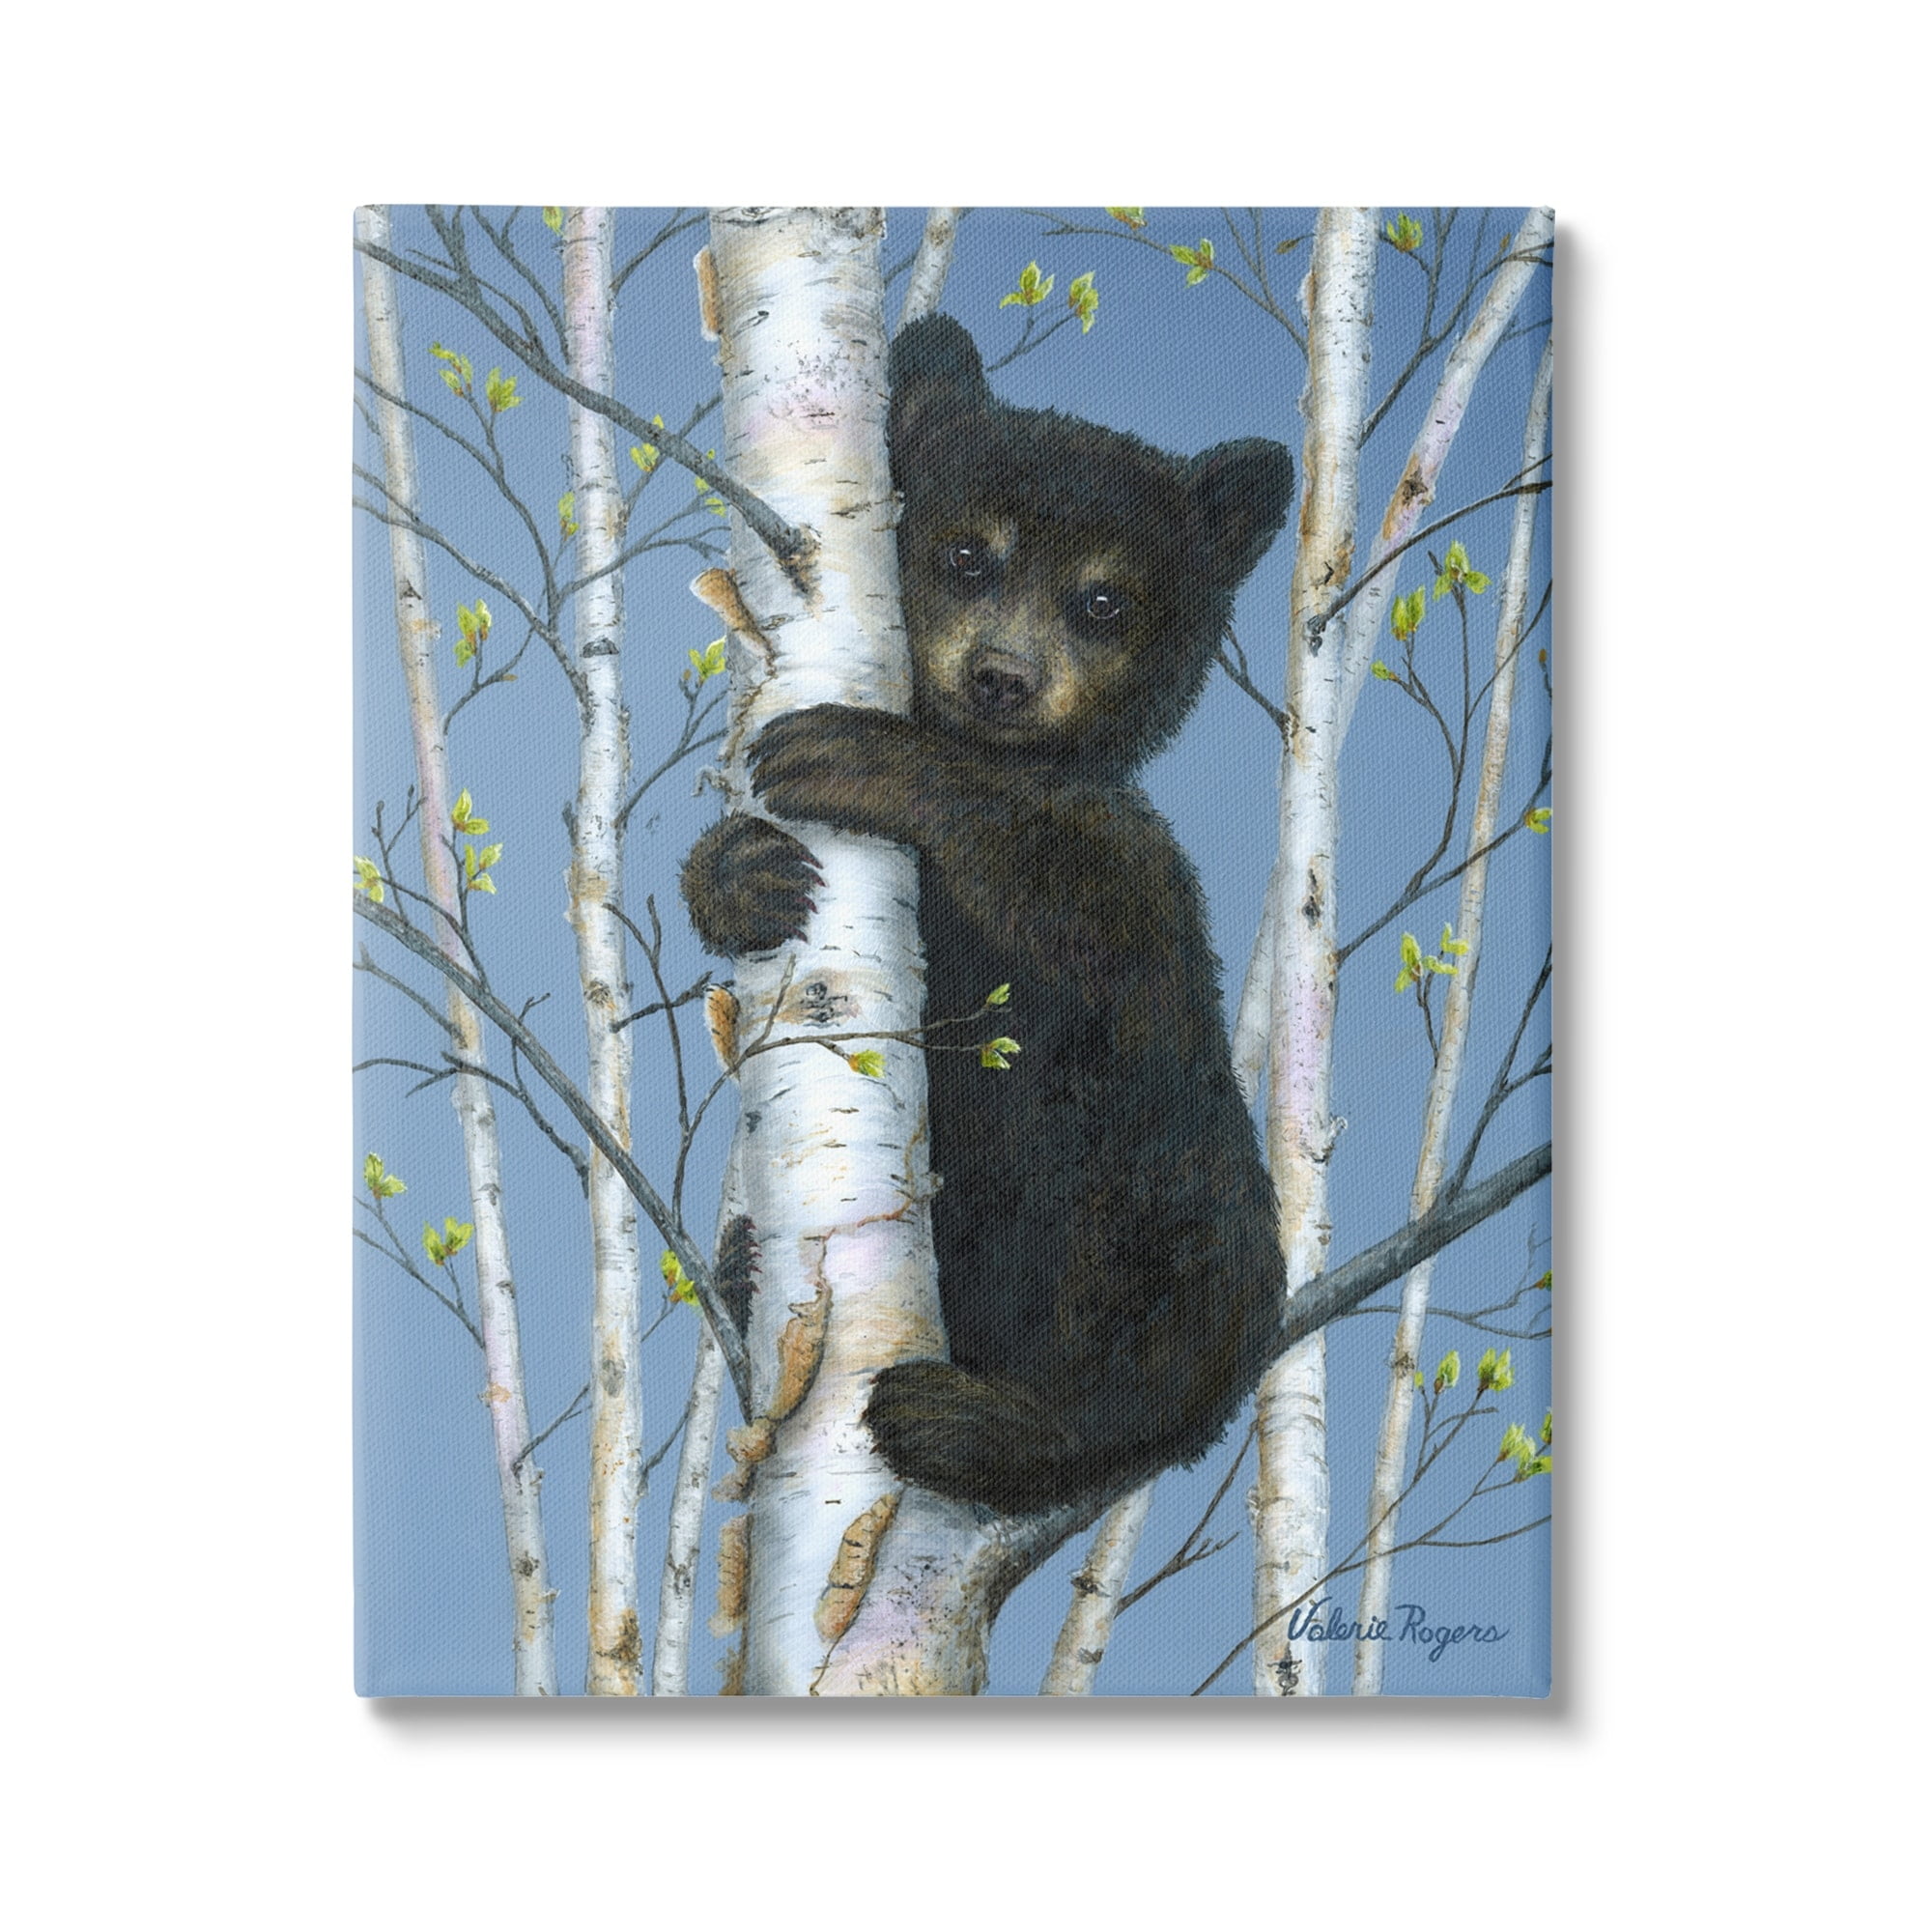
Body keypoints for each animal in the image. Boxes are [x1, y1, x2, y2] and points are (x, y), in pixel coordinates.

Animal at [682, 313, 1294, 1517]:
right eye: (969, 553)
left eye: (1103, 600)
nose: (1003, 675)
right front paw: (736, 869)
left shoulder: (1138, 871)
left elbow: (1078, 906)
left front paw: (864, 758)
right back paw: (742, 1270)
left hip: (1174, 1196)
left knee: (1159, 1329)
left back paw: (985, 1423)